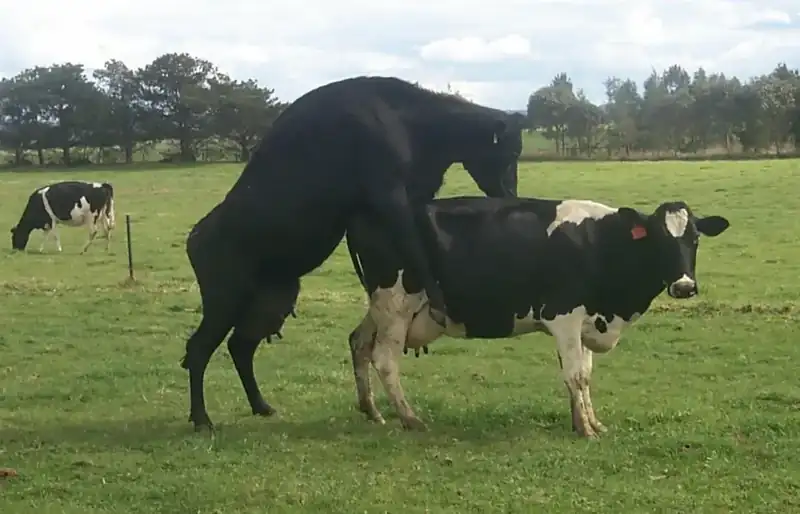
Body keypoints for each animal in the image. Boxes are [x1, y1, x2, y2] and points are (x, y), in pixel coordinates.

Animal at [182, 76, 522, 431]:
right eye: (511, 153)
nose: (511, 194)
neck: (407, 119)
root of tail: (197, 234)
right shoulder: (389, 195)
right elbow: (415, 249)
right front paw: (439, 302)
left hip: (272, 301)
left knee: (240, 346)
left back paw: (261, 406)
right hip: (224, 300)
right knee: (199, 349)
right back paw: (202, 419)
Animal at [345, 196, 730, 437]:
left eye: (695, 239)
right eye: (660, 240)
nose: (684, 286)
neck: (600, 244)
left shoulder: (584, 320)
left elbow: (584, 375)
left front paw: (589, 422)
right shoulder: (564, 316)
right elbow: (575, 375)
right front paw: (586, 430)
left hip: (381, 307)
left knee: (358, 342)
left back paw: (372, 411)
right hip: (396, 304)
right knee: (385, 359)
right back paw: (410, 419)